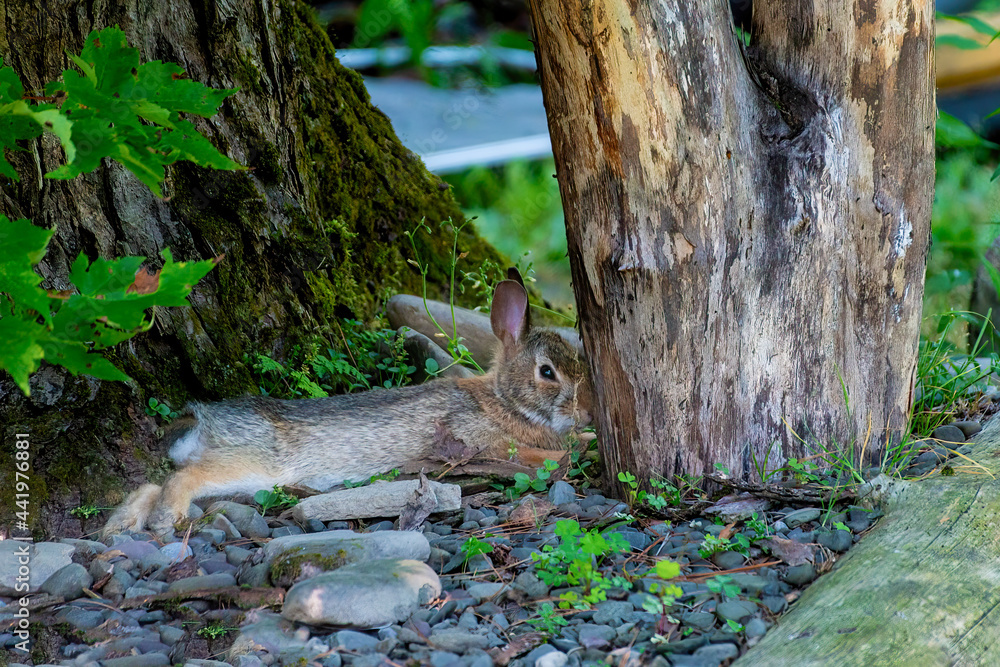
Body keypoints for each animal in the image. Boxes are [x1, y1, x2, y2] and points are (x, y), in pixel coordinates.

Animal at [105, 272, 592, 536]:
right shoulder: (479, 441)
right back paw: (165, 519)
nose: (586, 412)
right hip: (251, 464)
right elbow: (537, 455)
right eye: (548, 372)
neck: (504, 400)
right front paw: (576, 449)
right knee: (182, 478)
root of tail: (203, 423)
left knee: (153, 483)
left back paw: (123, 524)